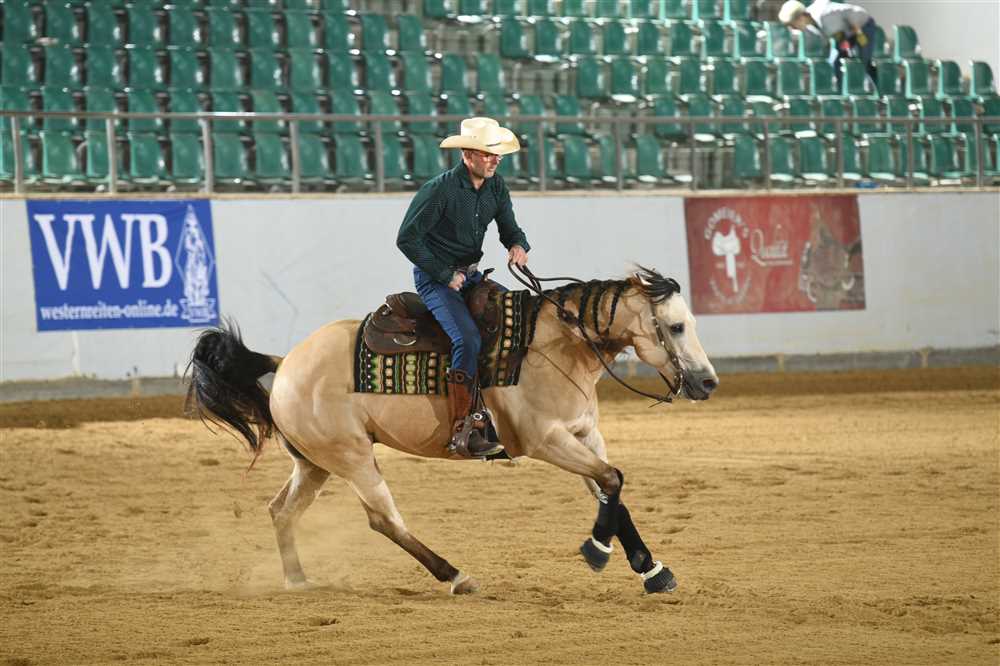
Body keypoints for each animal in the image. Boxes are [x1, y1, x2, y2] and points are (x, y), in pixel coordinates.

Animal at [186, 266, 719, 595]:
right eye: (674, 327)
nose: (708, 382)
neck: (556, 345)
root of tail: (286, 362)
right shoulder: (545, 441)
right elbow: (611, 479)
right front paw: (597, 551)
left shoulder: (584, 435)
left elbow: (610, 488)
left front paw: (652, 570)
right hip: (352, 458)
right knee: (384, 520)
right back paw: (456, 575)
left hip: (315, 463)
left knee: (281, 510)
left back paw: (297, 579)